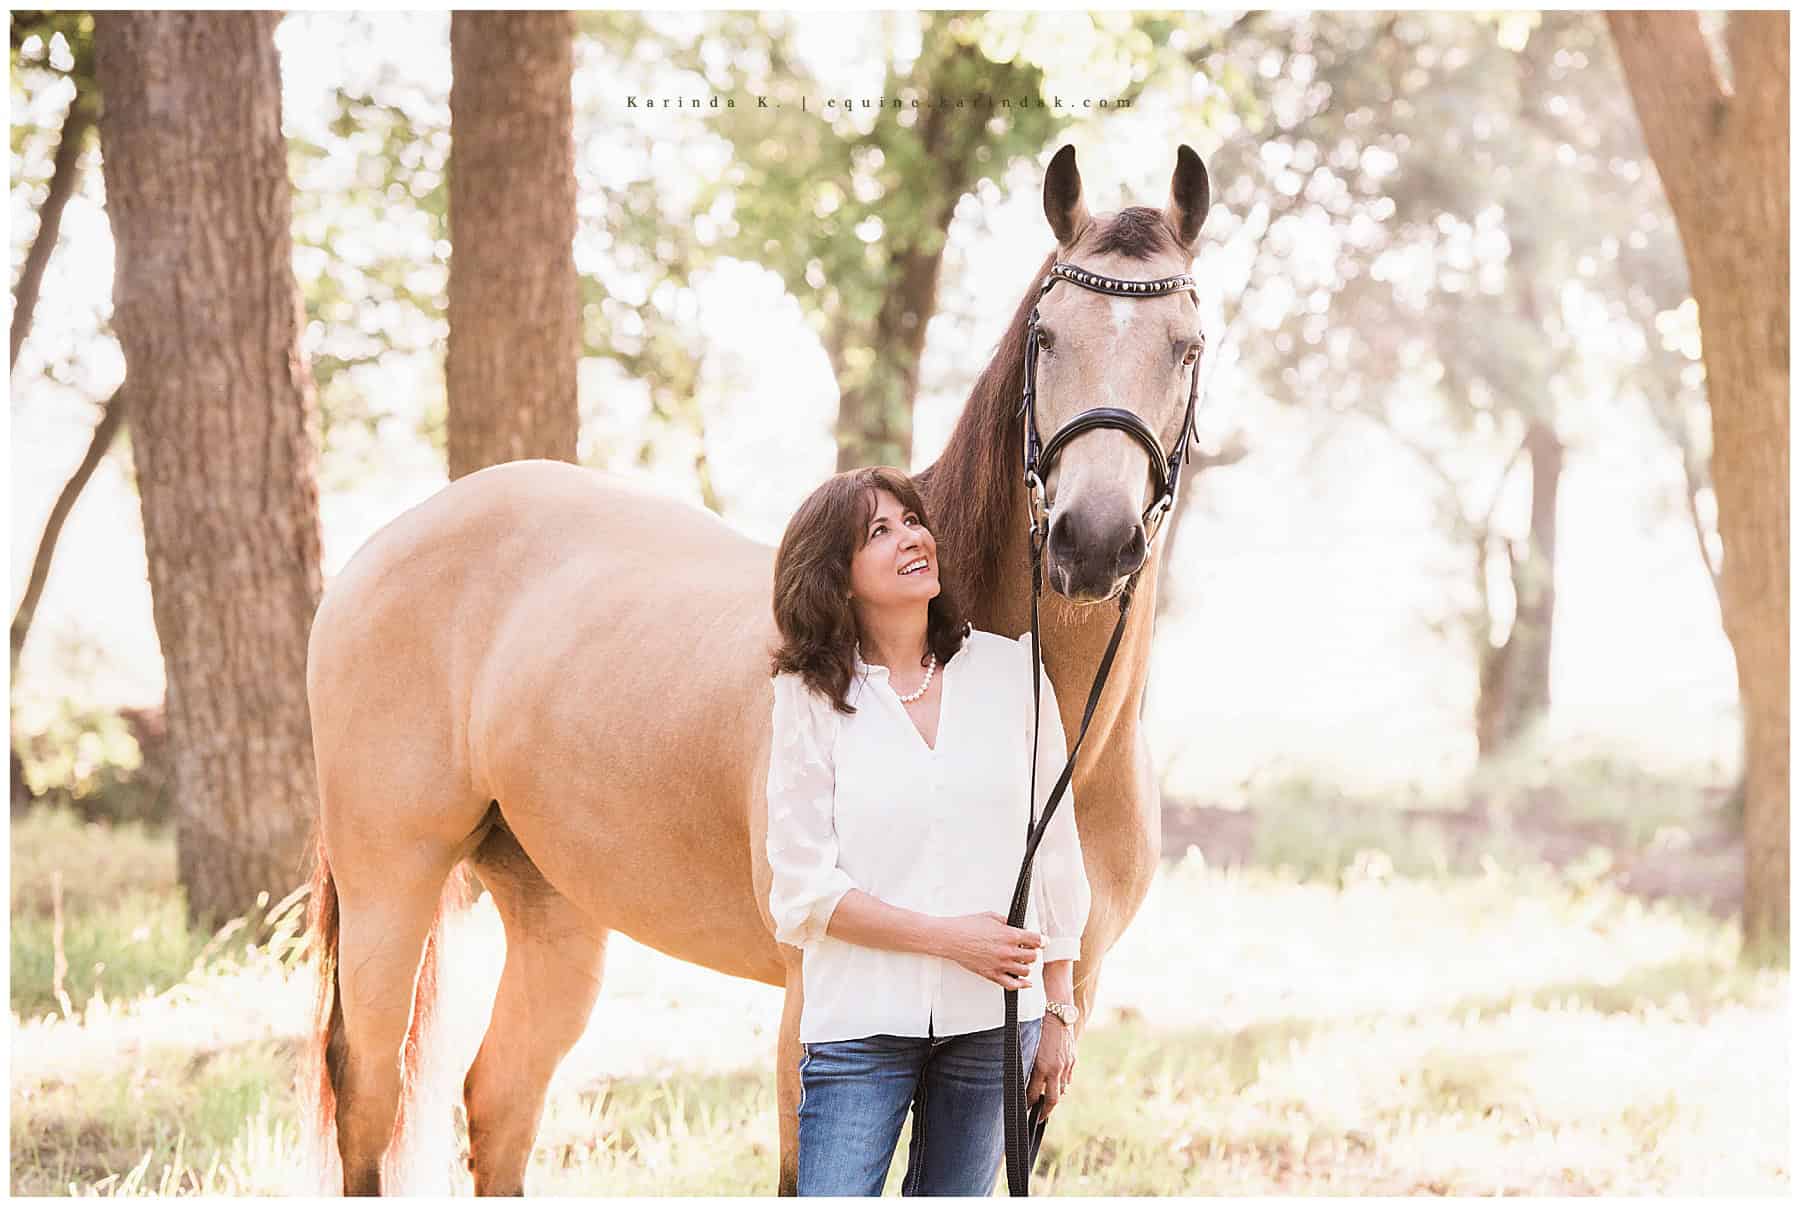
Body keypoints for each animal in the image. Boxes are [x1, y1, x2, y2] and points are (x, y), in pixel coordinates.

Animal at [302, 142, 1213, 1195]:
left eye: (1186, 346)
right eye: (1048, 338)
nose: (1092, 541)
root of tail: (388, 541)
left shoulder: (1054, 1014)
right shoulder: (812, 1009)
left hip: (555, 906)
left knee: (499, 1103)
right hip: (390, 889)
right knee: (369, 1099)